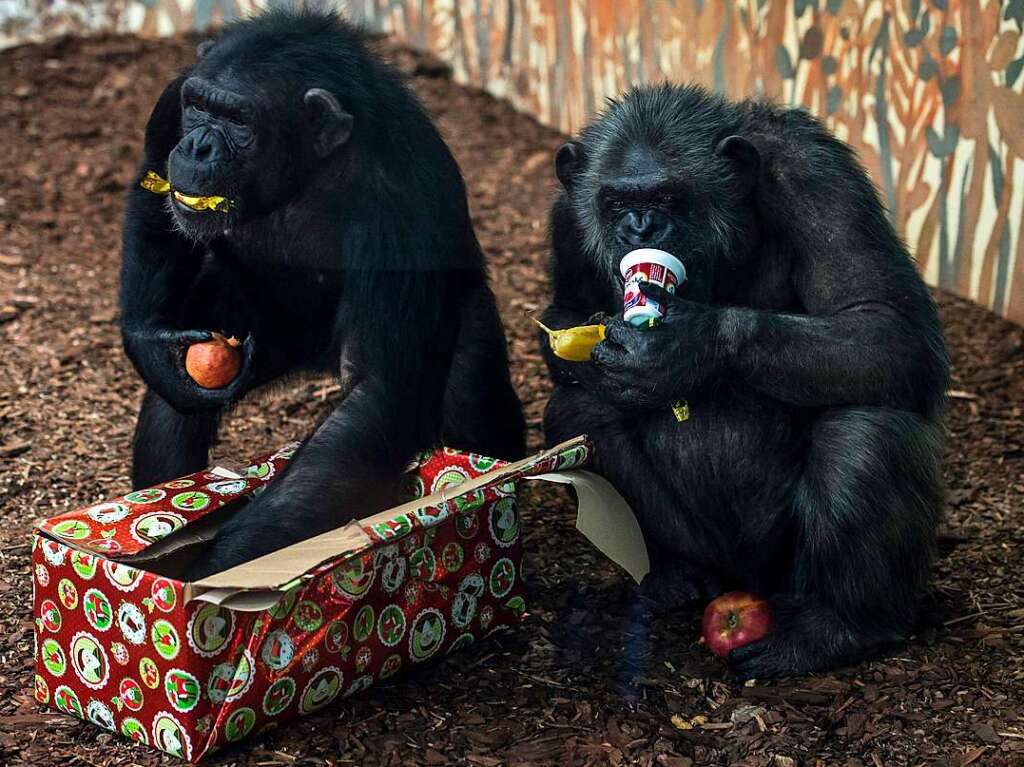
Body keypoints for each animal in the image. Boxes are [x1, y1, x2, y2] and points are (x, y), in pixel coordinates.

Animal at [119, 8, 528, 577]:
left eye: (238, 121)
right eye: (198, 107)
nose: (198, 145)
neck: (306, 168)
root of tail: (314, 356)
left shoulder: (401, 199)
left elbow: (375, 389)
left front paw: (219, 574)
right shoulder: (168, 103)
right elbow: (153, 192)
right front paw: (148, 342)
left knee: (469, 391)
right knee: (173, 404)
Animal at [540, 83, 946, 675]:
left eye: (669, 199)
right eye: (615, 202)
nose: (640, 227)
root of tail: (742, 579)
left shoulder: (818, 180)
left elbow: (886, 322)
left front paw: (681, 349)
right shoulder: (567, 218)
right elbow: (567, 316)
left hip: (781, 567)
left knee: (866, 429)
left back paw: (835, 629)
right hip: (700, 543)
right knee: (580, 411)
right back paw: (673, 575)